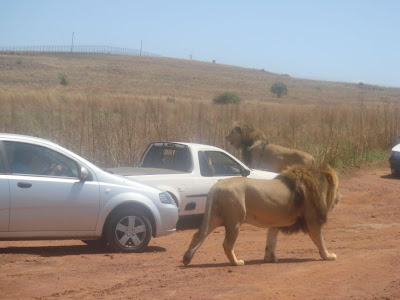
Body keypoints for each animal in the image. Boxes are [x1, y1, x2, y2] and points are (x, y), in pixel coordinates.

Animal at [183, 164, 342, 268]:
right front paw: (328, 256)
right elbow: (321, 241)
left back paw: (186, 260)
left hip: (215, 217)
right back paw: (237, 262)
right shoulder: (312, 221)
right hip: (235, 220)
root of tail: (216, 186)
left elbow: (271, 242)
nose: (340, 197)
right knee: (227, 244)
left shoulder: (275, 224)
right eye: (337, 188)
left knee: (197, 235)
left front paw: (270, 259)